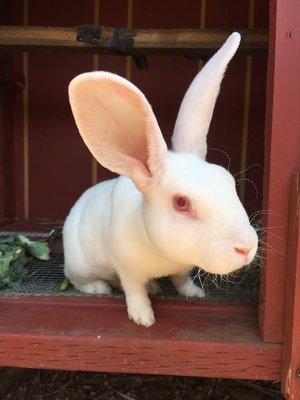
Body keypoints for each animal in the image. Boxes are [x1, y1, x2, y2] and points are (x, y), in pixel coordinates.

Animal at [62, 32, 258, 326]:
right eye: (181, 203)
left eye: (228, 182)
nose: (246, 247)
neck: (164, 256)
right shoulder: (127, 268)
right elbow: (133, 290)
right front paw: (143, 317)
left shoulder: (182, 267)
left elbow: (180, 279)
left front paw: (194, 292)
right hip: (80, 264)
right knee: (80, 280)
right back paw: (99, 288)